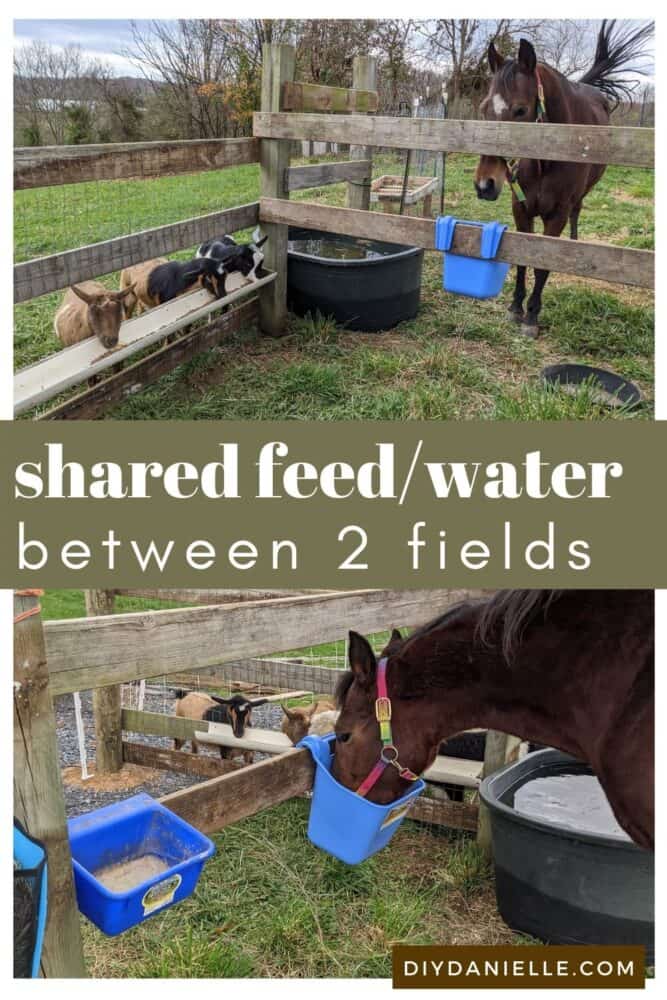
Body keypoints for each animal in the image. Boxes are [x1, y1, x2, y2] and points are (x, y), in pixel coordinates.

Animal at [474, 21, 652, 334]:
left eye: (520, 110)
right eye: (484, 109)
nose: (486, 184)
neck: (546, 159)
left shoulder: (556, 214)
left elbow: (542, 264)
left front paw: (532, 316)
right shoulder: (520, 209)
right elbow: (523, 259)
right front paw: (515, 307)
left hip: (581, 195)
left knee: (577, 214)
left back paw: (573, 243)